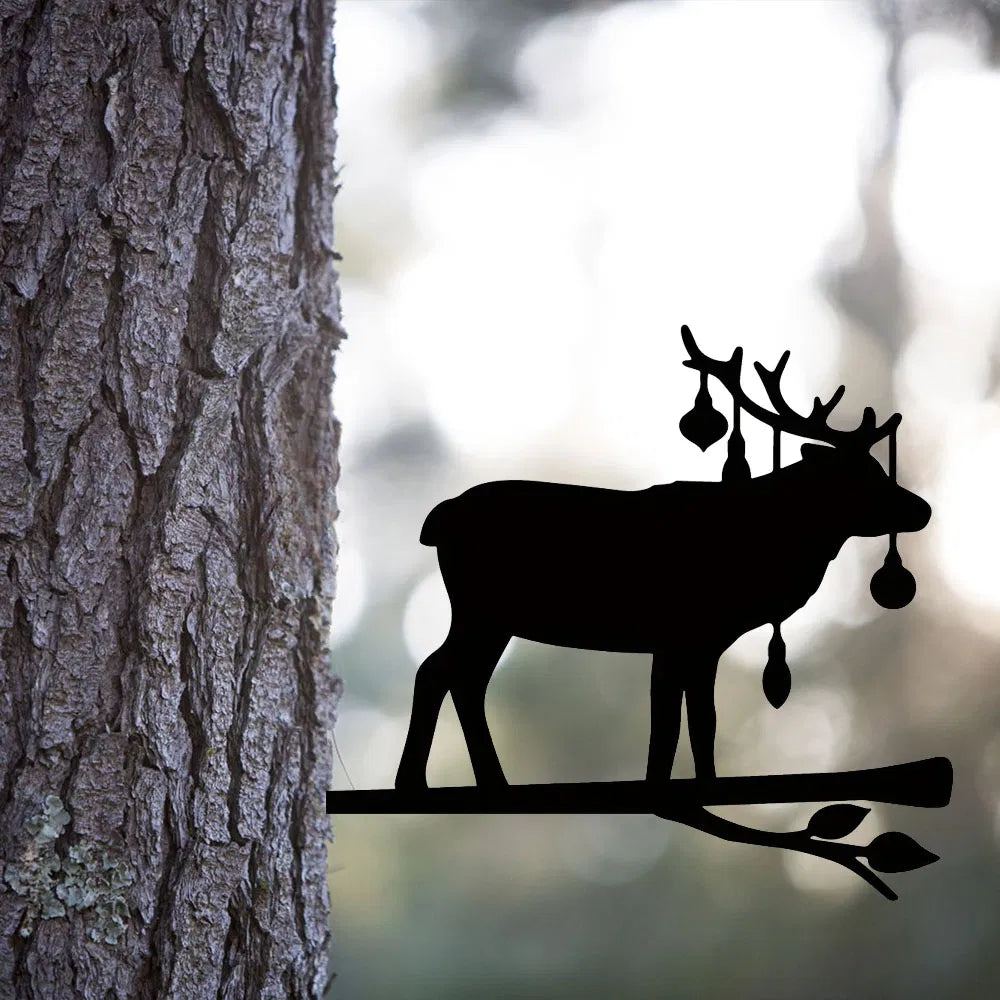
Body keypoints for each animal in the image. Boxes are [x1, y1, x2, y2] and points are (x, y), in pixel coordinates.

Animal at [394, 327, 931, 793]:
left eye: (879, 466)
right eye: (861, 478)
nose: (922, 508)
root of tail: (438, 519)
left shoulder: (702, 641)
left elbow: (697, 721)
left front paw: (703, 786)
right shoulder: (680, 631)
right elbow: (674, 722)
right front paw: (671, 789)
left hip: (492, 617)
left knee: (464, 679)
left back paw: (489, 782)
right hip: (480, 608)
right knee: (437, 671)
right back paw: (415, 782)